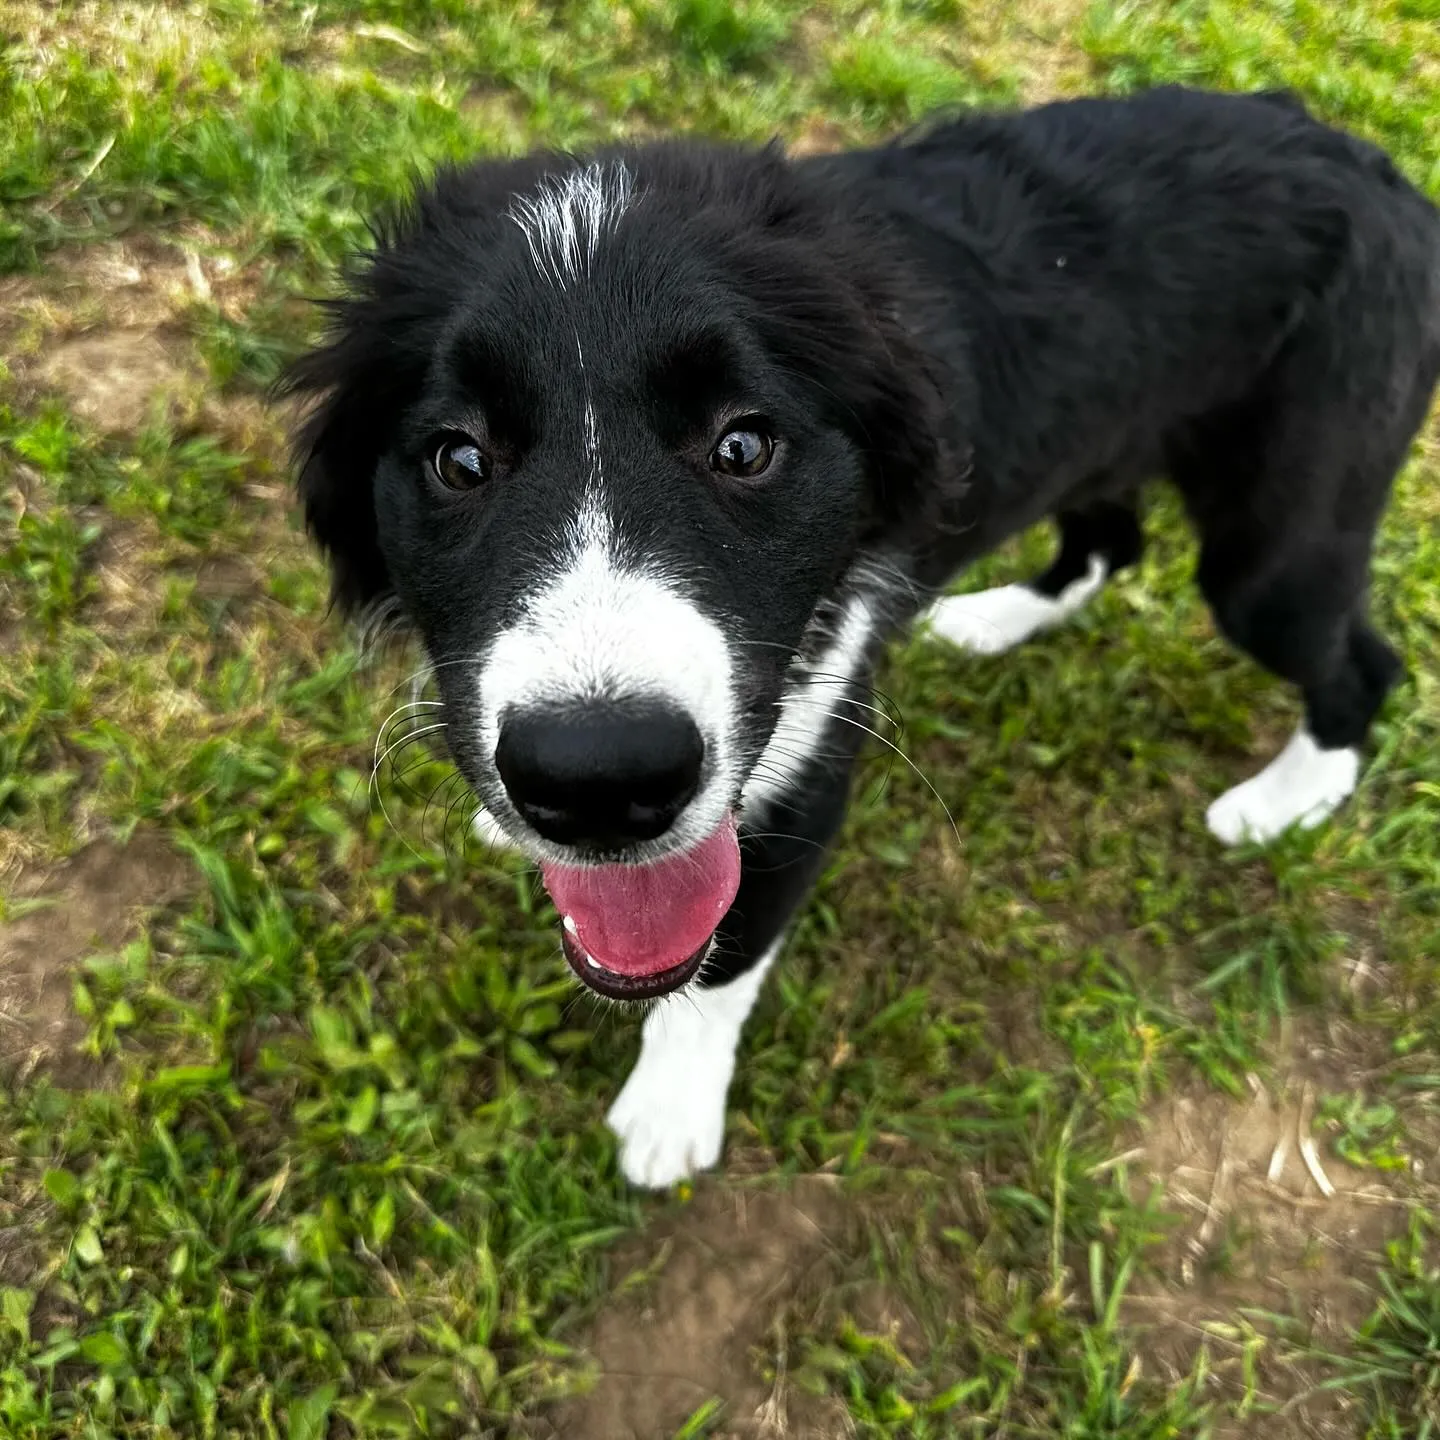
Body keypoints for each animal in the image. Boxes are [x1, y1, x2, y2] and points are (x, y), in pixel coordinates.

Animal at [283, 87, 1440, 1192]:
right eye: (459, 460)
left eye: (745, 446)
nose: (598, 784)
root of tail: (1373, 167)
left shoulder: (803, 764)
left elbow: (724, 953)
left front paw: (670, 1110)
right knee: (1112, 537)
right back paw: (996, 618)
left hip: (1277, 545)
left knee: (1363, 667)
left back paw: (1282, 803)